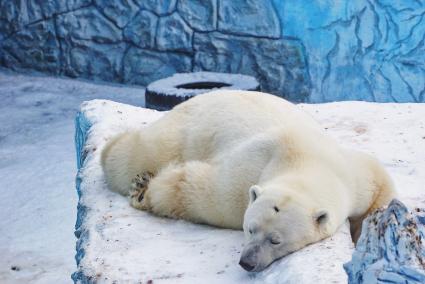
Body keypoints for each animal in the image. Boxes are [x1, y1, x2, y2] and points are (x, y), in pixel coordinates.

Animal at [101, 90, 396, 272]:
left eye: (276, 240)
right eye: (250, 229)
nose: (247, 262)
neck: (304, 159)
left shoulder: (353, 175)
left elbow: (380, 189)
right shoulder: (248, 171)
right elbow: (203, 191)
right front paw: (148, 190)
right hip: (186, 128)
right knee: (136, 153)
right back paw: (132, 173)